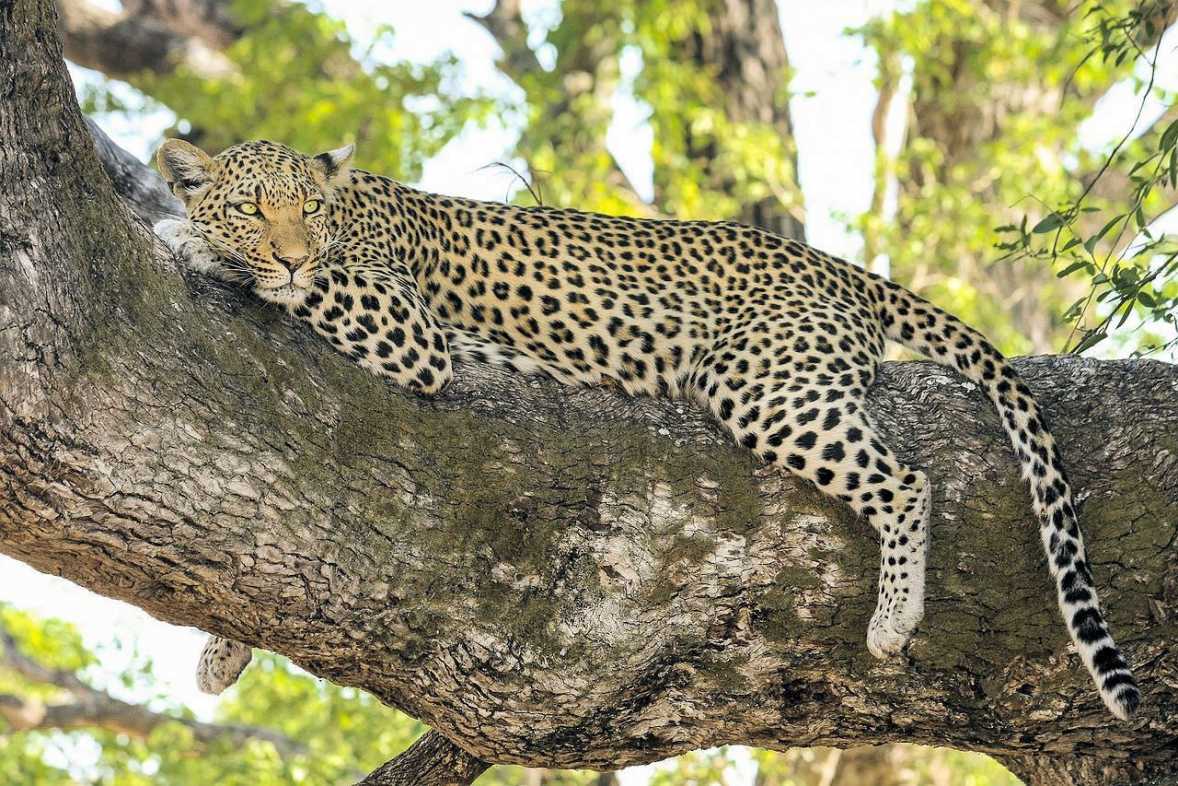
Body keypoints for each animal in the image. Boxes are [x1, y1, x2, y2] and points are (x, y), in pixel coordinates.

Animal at [152, 137, 1140, 720]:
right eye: (254, 206)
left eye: (306, 211)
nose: (288, 250)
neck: (351, 209)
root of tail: (833, 265)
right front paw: (222, 651)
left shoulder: (407, 328)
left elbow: (313, 286)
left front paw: (188, 241)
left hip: (761, 382)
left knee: (906, 482)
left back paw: (895, 619)